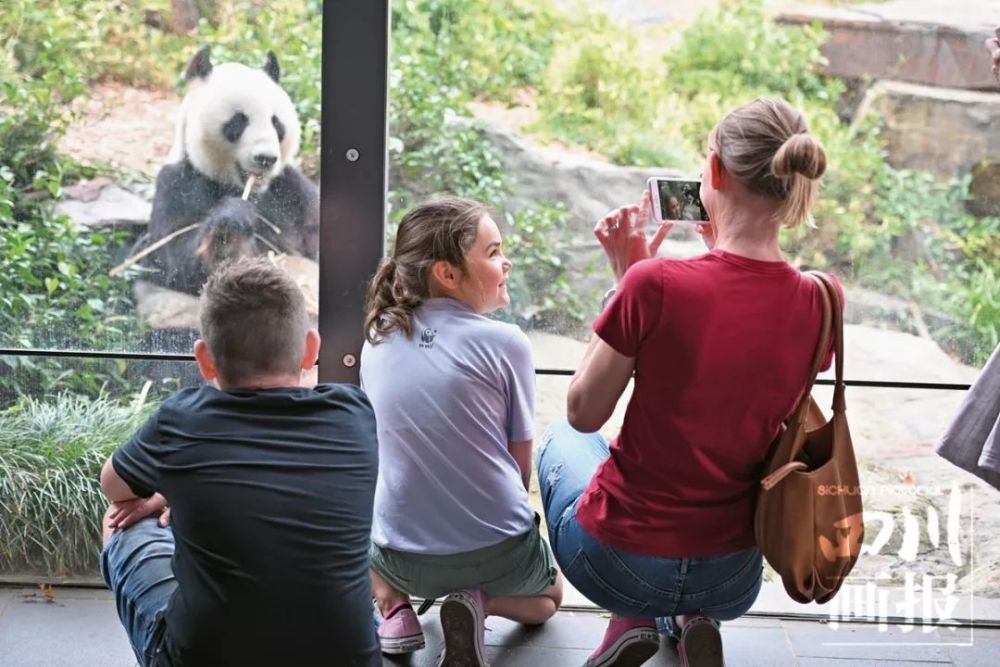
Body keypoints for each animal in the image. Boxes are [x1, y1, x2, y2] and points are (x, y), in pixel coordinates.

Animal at [141, 46, 318, 294]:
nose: (266, 158)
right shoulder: (180, 183)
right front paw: (232, 224)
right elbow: (175, 259)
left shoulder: (291, 190)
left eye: (276, 123)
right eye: (239, 121)